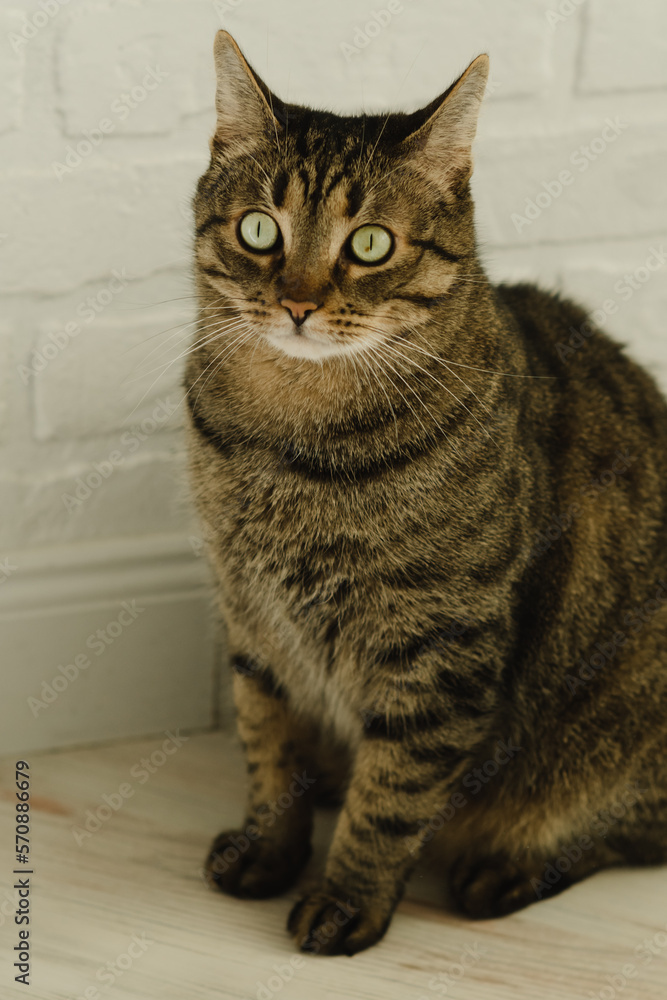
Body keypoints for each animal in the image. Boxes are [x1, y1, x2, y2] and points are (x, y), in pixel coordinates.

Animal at [185, 29, 667, 952]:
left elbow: (391, 798)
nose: (296, 302)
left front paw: (347, 901)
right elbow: (269, 745)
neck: (293, 441)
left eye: (369, 244)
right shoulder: (251, 618)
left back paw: (506, 866)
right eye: (260, 229)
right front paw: (270, 846)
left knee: (623, 826)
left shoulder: (439, 651)